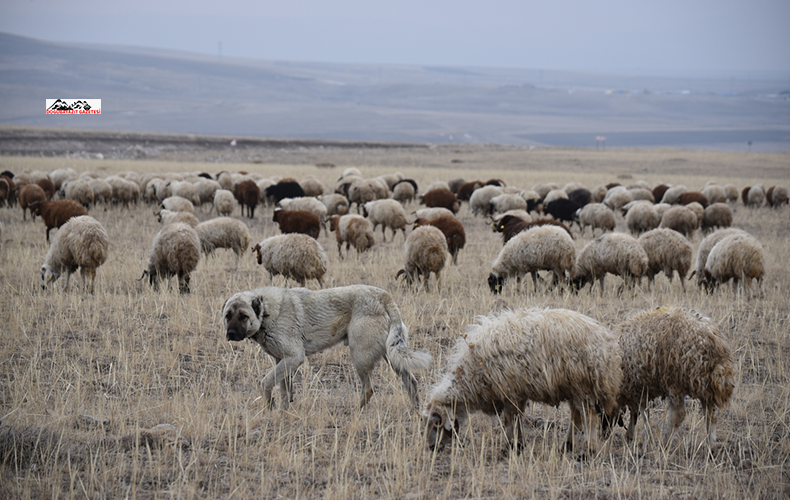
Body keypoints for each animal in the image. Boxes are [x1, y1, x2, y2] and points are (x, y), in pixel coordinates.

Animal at [223, 286, 434, 410]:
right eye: (228, 315)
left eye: (243, 316)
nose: (230, 334)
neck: (266, 312)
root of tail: (383, 294)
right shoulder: (282, 361)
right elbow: (285, 389)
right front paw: (283, 411)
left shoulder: (294, 358)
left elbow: (265, 382)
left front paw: (270, 406)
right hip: (392, 355)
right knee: (411, 381)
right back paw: (416, 410)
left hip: (360, 357)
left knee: (369, 388)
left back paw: (356, 413)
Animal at [426, 306, 624, 456]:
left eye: (436, 424)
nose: (431, 448)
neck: (469, 376)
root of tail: (608, 346)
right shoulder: (517, 394)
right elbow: (517, 419)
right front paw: (518, 444)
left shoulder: (509, 392)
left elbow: (509, 420)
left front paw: (509, 446)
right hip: (573, 388)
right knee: (577, 417)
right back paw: (566, 446)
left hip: (582, 387)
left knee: (590, 419)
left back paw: (587, 451)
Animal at [608, 304, 740, 450]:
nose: (604, 436)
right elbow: (637, 412)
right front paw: (631, 436)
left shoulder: (639, 386)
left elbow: (643, 413)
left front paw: (643, 441)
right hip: (706, 386)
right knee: (711, 415)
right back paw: (710, 446)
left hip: (676, 382)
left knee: (679, 414)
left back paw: (665, 442)